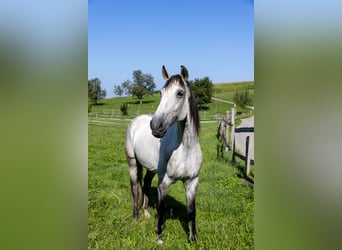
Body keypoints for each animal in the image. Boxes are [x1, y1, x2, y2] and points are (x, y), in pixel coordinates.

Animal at [125, 65, 202, 243]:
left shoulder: (192, 182)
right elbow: (161, 209)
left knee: (145, 184)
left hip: (151, 170)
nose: (155, 126)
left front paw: (193, 238)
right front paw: (159, 236)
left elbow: (191, 211)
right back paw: (136, 217)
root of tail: (136, 121)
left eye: (180, 93)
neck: (185, 149)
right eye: (161, 93)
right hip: (133, 164)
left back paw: (146, 212)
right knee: (134, 188)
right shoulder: (164, 182)